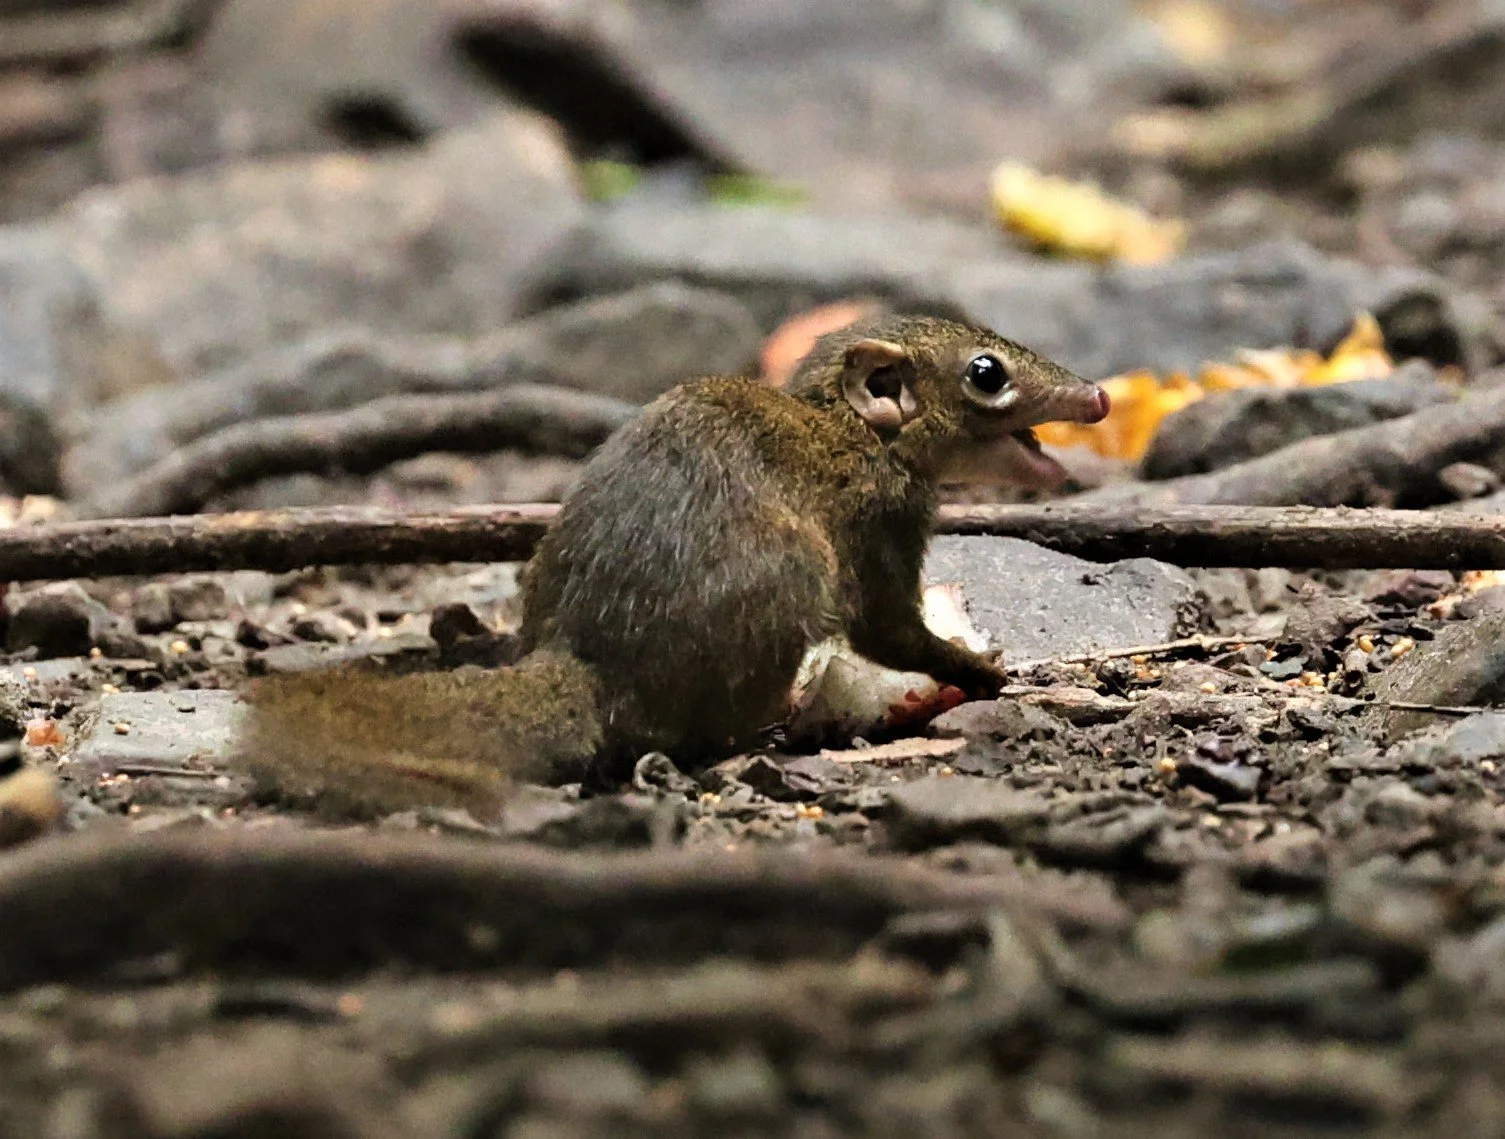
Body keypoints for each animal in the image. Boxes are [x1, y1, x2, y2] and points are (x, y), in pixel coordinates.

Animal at [238, 315, 1109, 817]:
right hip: (792, 580)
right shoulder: (878, 528)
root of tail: (583, 665)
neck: (852, 433)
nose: (1098, 395)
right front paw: (978, 667)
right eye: (986, 372)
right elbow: (889, 629)